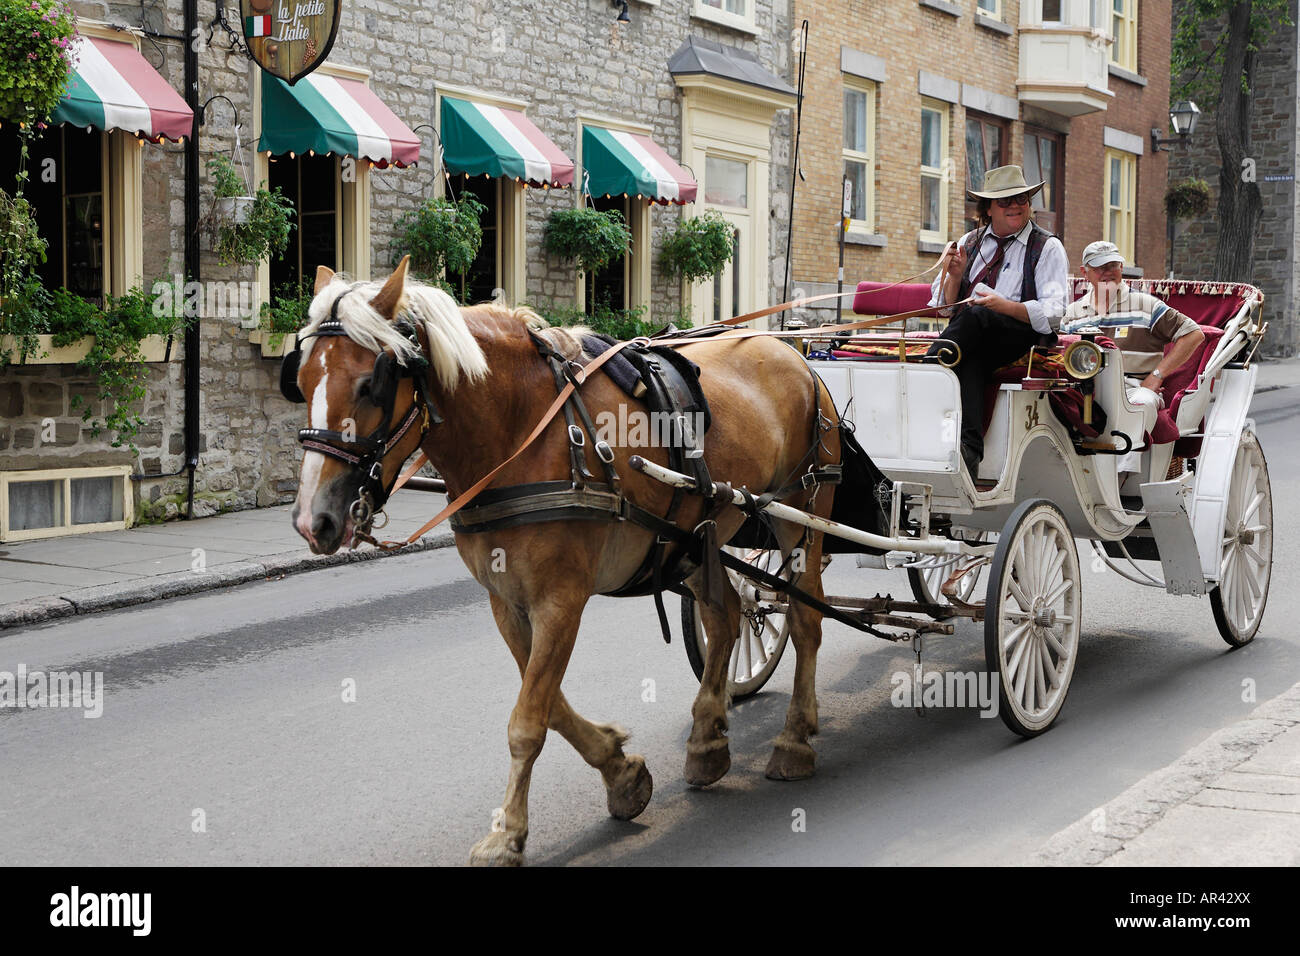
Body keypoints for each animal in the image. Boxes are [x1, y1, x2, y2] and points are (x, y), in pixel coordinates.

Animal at [287, 257, 842, 866]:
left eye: (372, 385)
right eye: (301, 380)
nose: (314, 520)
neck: (523, 429)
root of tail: (794, 354)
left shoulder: (561, 600)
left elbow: (528, 720)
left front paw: (508, 833)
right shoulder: (507, 601)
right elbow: (548, 705)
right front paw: (621, 772)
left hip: (802, 512)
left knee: (806, 621)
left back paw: (794, 739)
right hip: (701, 532)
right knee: (725, 621)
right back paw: (707, 741)